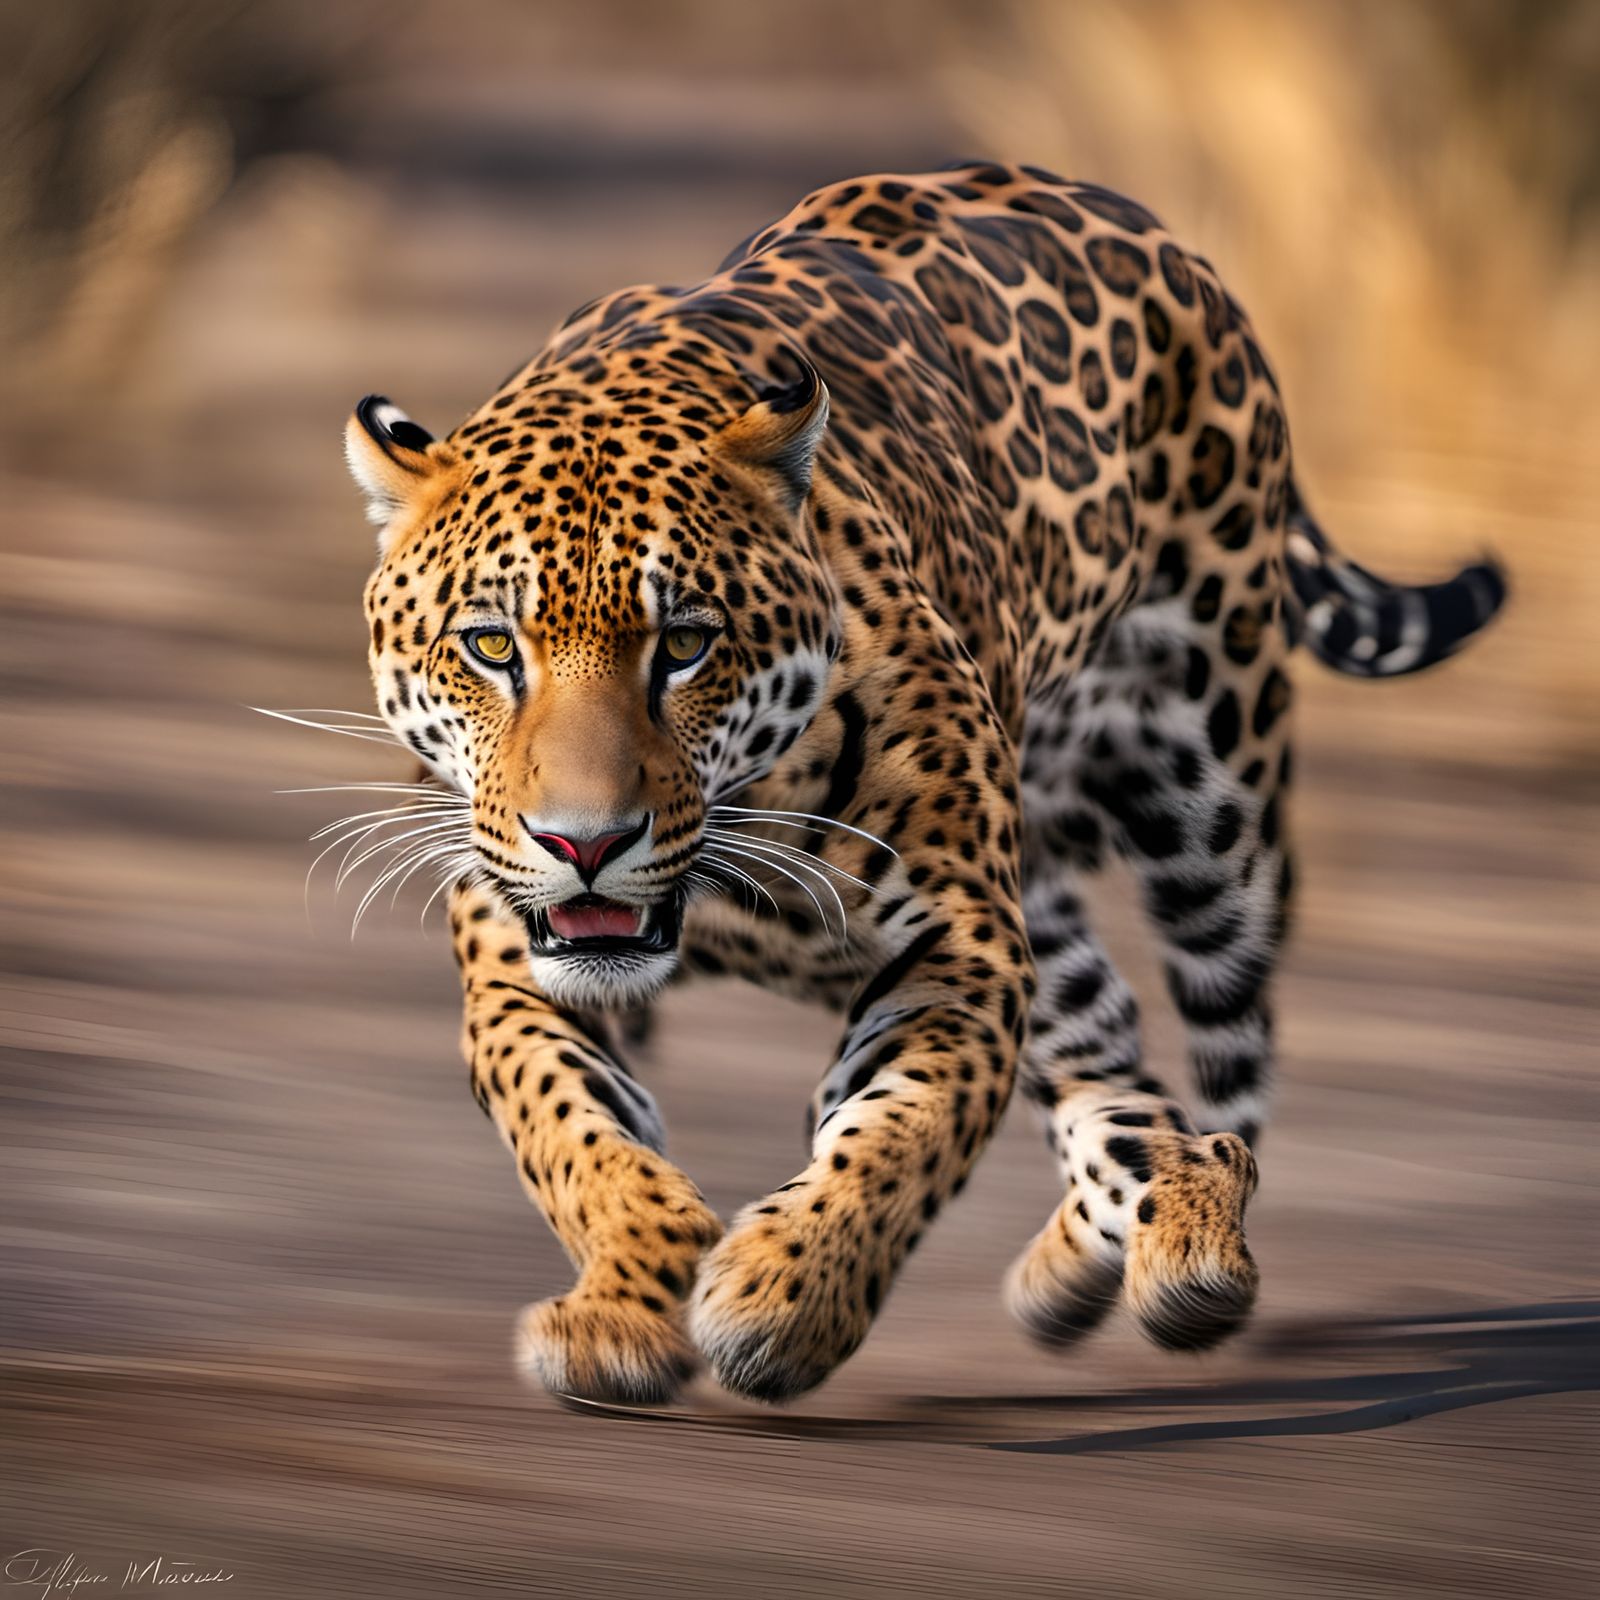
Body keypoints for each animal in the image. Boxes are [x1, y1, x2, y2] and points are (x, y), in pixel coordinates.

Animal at [336, 160, 1505, 1407]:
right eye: (490, 646)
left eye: (687, 645)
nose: (586, 843)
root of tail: (1146, 227)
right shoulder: (517, 952)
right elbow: (571, 1128)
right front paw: (620, 1306)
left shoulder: (963, 947)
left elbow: (904, 1130)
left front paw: (783, 1299)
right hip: (1051, 880)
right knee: (1110, 1045)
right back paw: (1077, 1263)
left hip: (1210, 808)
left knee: (1231, 1061)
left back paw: (1195, 1236)